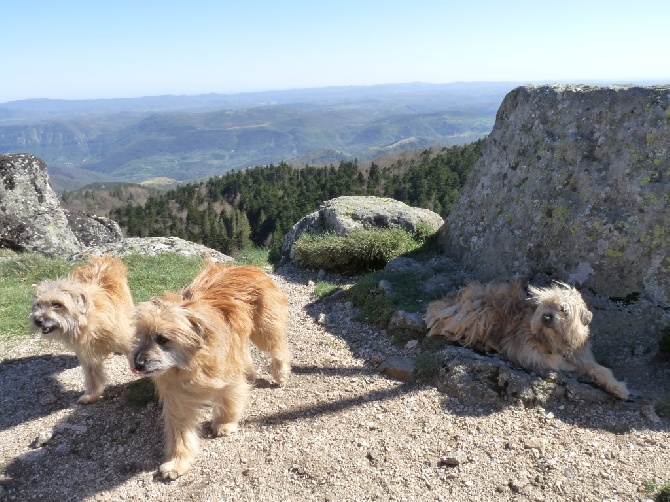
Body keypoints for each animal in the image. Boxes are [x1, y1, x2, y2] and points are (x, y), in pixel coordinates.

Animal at [30, 255, 136, 404]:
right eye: (38, 304)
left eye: (57, 304)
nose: (37, 321)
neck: (88, 323)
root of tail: (102, 258)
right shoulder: (87, 356)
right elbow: (92, 377)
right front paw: (91, 396)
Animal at [131, 260, 292, 480]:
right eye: (141, 336)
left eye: (162, 338)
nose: (137, 364)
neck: (190, 364)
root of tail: (247, 266)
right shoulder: (177, 399)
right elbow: (180, 432)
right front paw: (178, 462)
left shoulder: (228, 377)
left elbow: (229, 400)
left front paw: (225, 423)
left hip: (264, 330)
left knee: (279, 348)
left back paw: (281, 373)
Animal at [428, 282, 632, 400]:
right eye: (544, 305)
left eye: (563, 309)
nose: (546, 316)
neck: (554, 341)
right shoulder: (526, 351)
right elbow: (553, 361)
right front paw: (570, 366)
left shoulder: (582, 355)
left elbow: (600, 369)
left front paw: (618, 387)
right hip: (480, 314)